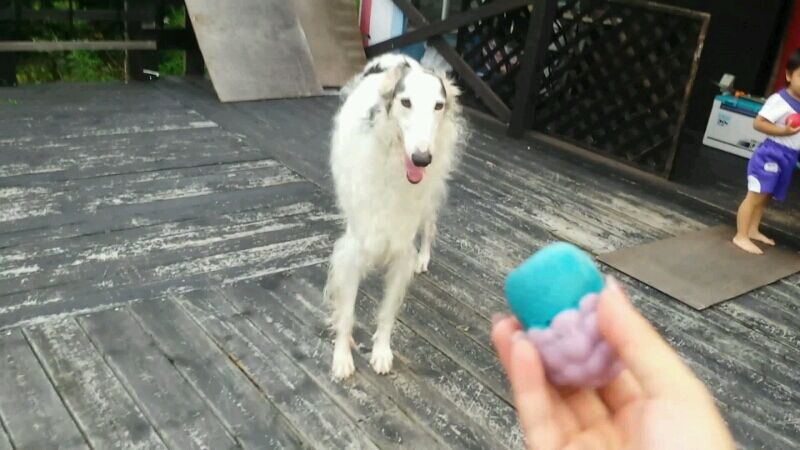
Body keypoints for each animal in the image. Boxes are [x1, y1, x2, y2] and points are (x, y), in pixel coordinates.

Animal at [325, 54, 465, 379]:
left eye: (438, 105)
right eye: (406, 102)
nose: (422, 159)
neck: (394, 169)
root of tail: (396, 57)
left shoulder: (401, 251)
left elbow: (387, 313)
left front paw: (381, 353)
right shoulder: (353, 249)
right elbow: (347, 312)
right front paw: (342, 357)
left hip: (431, 195)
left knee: (430, 227)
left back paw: (423, 258)